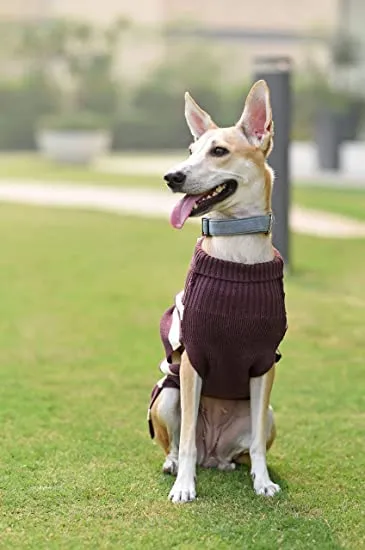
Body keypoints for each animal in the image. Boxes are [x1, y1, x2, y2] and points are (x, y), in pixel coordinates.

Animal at [146, 80, 286, 506]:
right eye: (191, 151)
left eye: (219, 151)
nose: (171, 176)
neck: (236, 250)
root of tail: (213, 453)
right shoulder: (193, 361)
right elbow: (187, 436)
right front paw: (184, 487)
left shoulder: (264, 364)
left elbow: (256, 446)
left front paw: (263, 482)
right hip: (168, 394)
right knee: (181, 444)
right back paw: (176, 466)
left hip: (268, 413)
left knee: (243, 445)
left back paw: (231, 465)